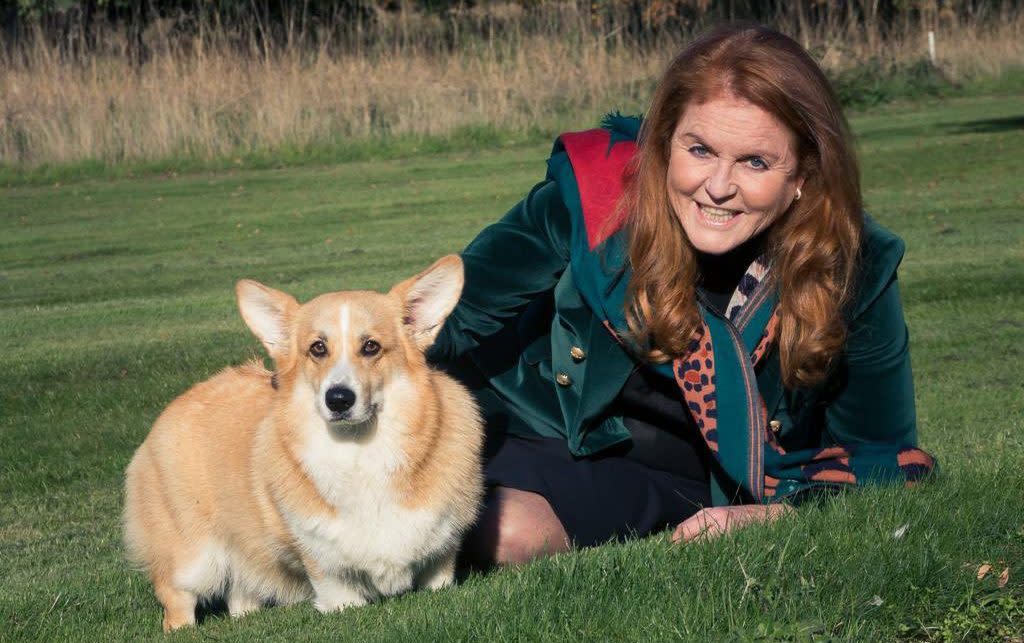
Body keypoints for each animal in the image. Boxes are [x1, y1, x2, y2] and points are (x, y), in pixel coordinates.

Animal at [121, 253, 481, 630]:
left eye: (371, 346)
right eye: (317, 348)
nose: (338, 399)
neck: (359, 452)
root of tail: (182, 399)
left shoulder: (440, 556)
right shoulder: (326, 567)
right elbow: (340, 594)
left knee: (242, 596)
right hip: (194, 560)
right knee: (178, 601)